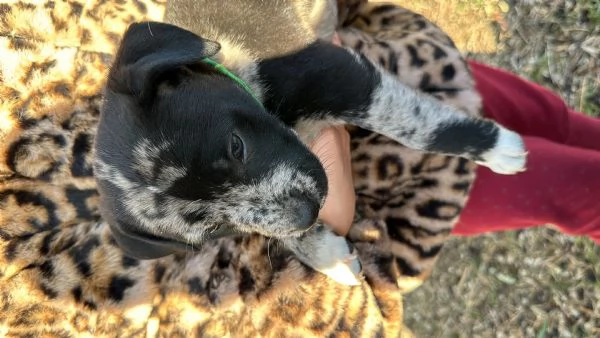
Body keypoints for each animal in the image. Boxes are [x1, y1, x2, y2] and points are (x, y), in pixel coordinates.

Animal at [94, 0, 524, 286]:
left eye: (236, 146)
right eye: (214, 228)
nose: (306, 212)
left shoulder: (341, 75)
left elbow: (414, 125)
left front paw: (494, 146)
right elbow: (277, 231)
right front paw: (327, 256)